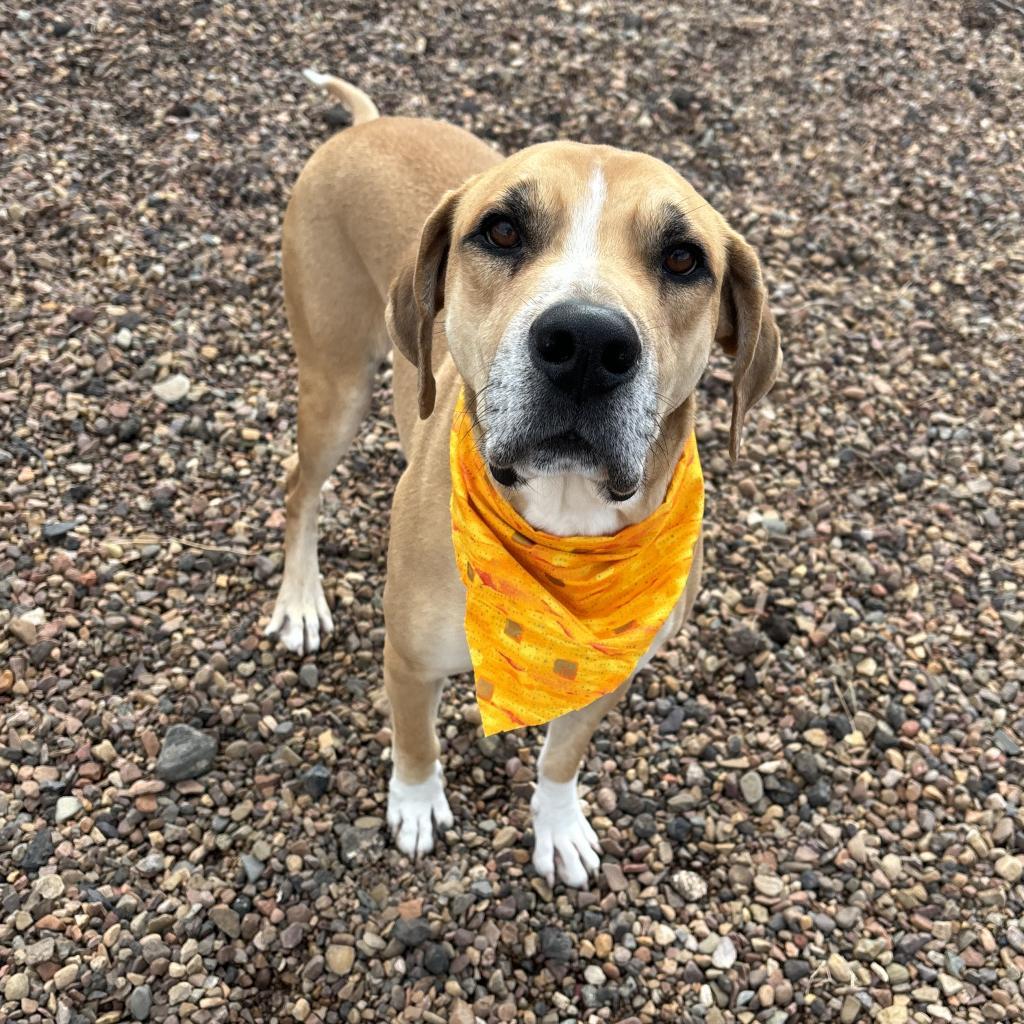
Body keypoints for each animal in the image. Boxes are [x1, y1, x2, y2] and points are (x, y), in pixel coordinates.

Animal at [266, 72, 782, 888]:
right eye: (502, 231)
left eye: (682, 259)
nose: (588, 344)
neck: (563, 527)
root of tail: (364, 126)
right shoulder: (408, 658)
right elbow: (415, 742)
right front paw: (417, 806)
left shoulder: (609, 677)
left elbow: (562, 758)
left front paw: (559, 827)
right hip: (335, 379)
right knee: (299, 488)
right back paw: (300, 602)